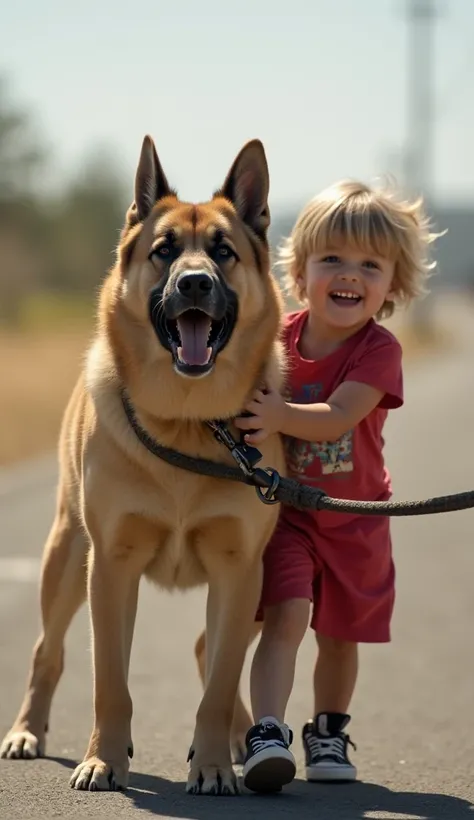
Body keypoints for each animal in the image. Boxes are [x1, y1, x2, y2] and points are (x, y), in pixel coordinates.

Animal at [0, 135, 286, 796]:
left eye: (224, 251)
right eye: (164, 251)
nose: (196, 285)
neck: (188, 420)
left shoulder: (240, 570)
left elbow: (218, 681)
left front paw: (213, 765)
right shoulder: (111, 566)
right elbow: (110, 681)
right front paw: (103, 760)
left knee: (212, 653)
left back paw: (241, 740)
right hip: (65, 556)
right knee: (46, 651)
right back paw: (26, 732)